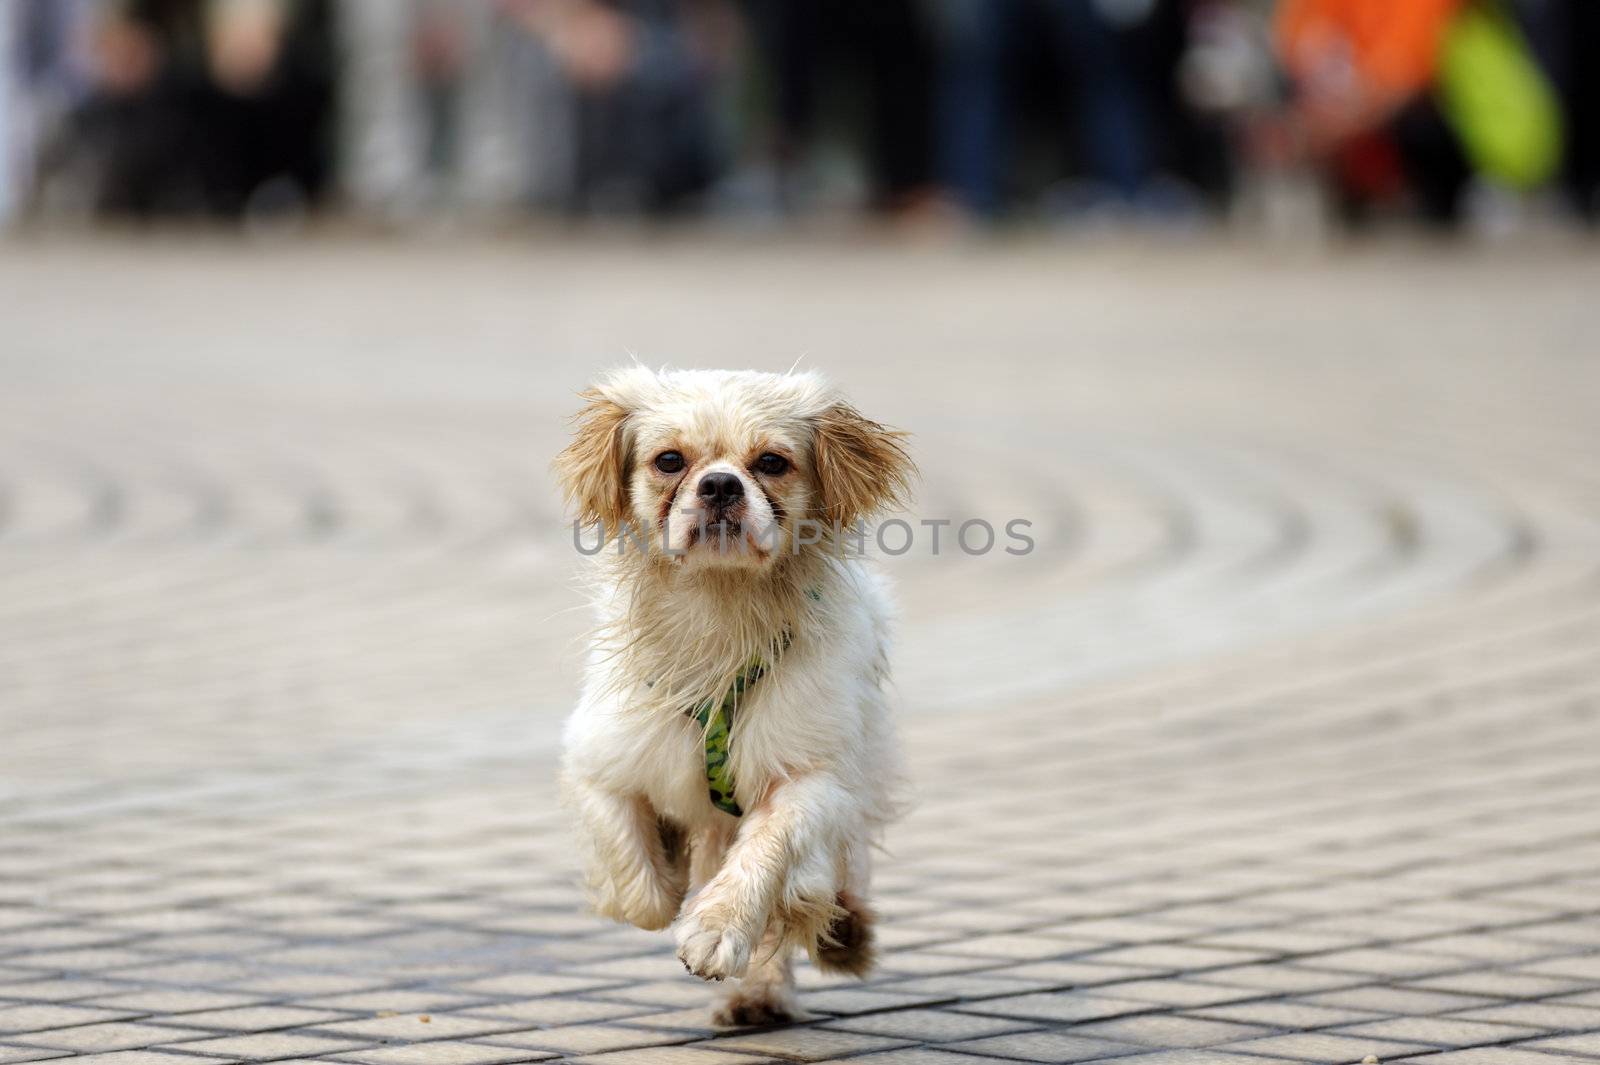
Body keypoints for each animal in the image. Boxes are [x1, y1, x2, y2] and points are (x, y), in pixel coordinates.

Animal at [556, 364, 915, 1023]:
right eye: (669, 461)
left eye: (771, 462)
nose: (720, 483)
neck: (719, 610)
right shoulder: (600, 763)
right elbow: (641, 890)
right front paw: (668, 869)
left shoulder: (811, 776)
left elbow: (767, 852)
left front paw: (718, 929)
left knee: (826, 869)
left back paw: (823, 940)